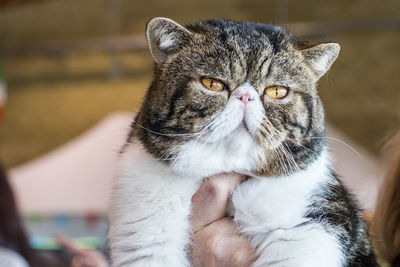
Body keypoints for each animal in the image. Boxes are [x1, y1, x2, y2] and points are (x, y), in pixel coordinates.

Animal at [108, 17, 376, 266]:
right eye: (212, 84)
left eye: (278, 91)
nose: (246, 96)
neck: (227, 165)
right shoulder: (145, 238)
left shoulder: (307, 226)